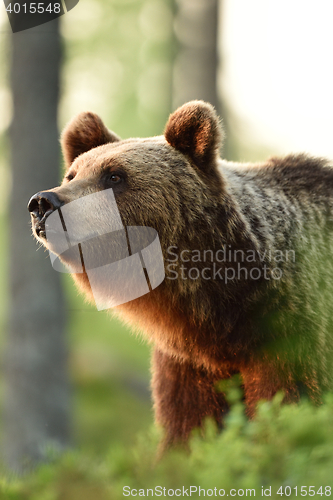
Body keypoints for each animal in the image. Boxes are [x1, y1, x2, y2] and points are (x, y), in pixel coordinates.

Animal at [27, 99, 332, 448]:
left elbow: (288, 402)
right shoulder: (186, 361)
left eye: (114, 175)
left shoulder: (291, 333)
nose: (42, 203)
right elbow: (188, 423)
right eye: (72, 174)